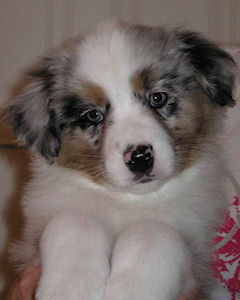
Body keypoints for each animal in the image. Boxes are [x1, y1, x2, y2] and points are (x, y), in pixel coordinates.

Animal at [7, 21, 236, 300]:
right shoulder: (39, 231)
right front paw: (69, 288)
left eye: (157, 97)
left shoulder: (193, 251)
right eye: (92, 115)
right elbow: (74, 222)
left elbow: (154, 232)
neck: (128, 201)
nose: (140, 157)